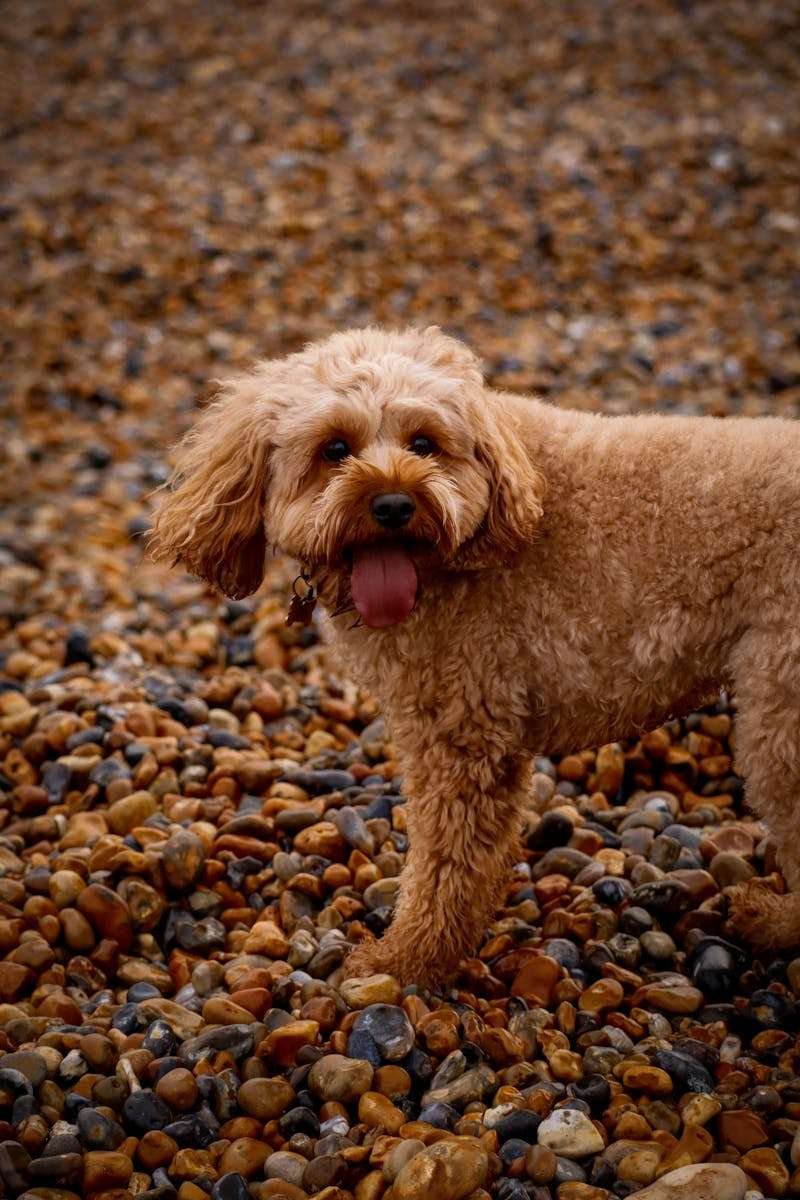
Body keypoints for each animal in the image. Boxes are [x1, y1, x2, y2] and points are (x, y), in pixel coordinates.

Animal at [151, 324, 800, 979]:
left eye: (424, 443)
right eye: (335, 448)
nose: (393, 504)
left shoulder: (464, 731)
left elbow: (448, 864)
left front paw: (404, 961)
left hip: (780, 712)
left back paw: (773, 923)